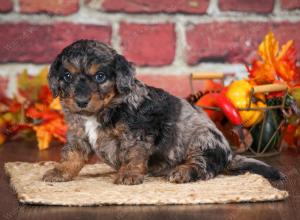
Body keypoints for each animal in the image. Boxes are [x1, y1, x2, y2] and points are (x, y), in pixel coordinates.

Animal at [42, 39, 284, 184]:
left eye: (100, 76)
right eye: (67, 76)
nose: (81, 101)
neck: (101, 110)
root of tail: (229, 155)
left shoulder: (137, 134)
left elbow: (133, 155)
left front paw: (128, 174)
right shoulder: (78, 135)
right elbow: (73, 155)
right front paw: (60, 172)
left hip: (202, 140)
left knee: (203, 166)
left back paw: (182, 172)